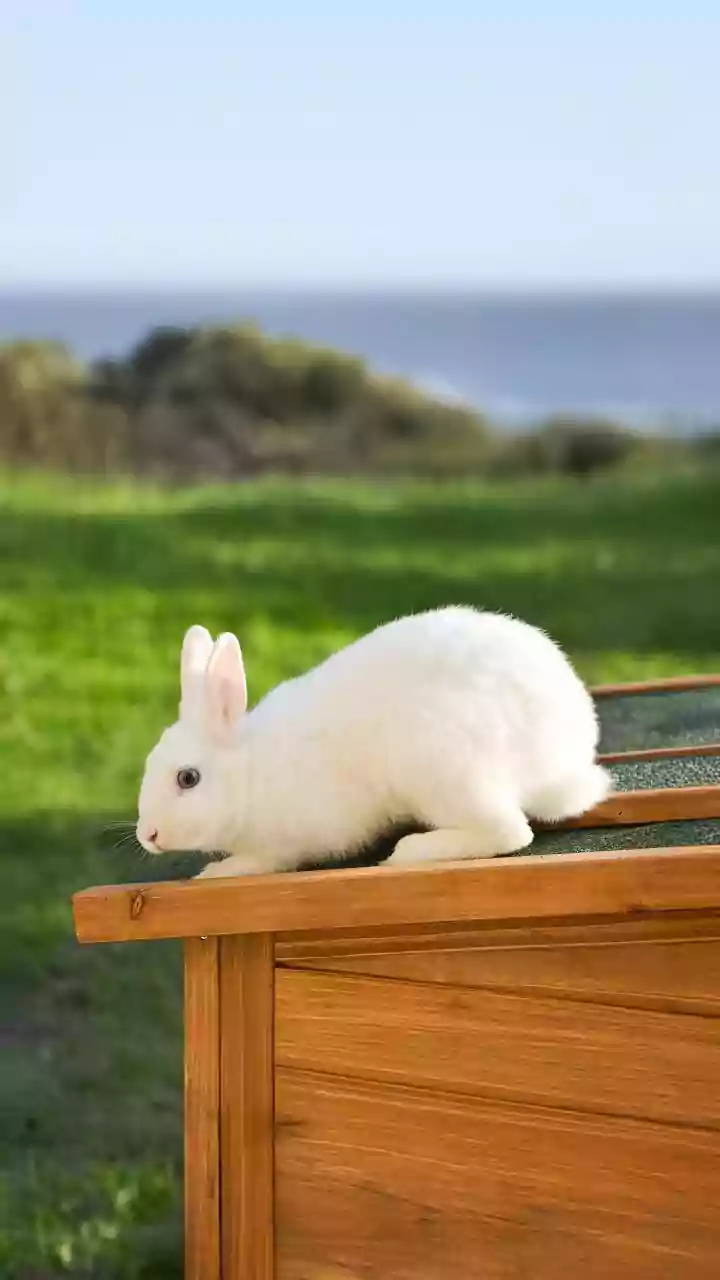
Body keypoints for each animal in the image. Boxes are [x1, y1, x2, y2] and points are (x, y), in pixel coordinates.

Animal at [136, 607, 611, 878]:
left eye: (188, 778)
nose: (148, 835)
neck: (252, 772)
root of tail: (563, 762)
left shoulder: (287, 841)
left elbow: (265, 861)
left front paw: (217, 872)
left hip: (441, 768)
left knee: (510, 831)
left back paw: (410, 852)